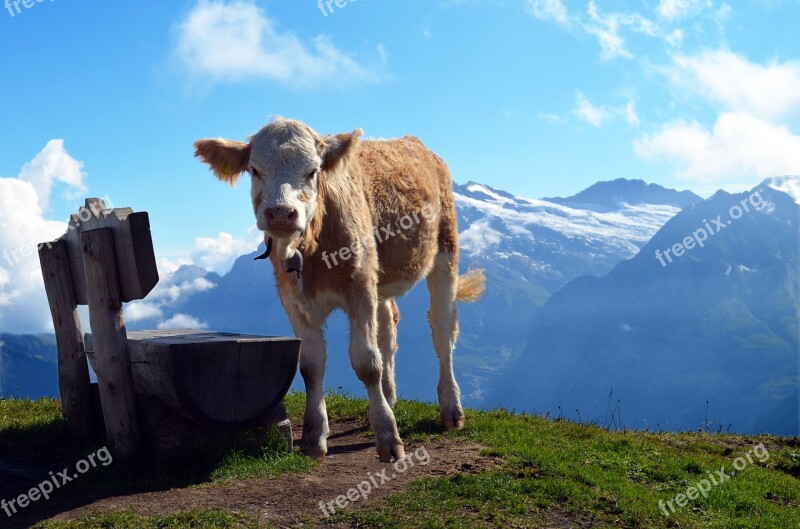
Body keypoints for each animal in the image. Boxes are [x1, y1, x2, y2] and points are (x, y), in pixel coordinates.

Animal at [195, 117, 482, 460]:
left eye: (312, 170)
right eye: (254, 170)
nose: (280, 213)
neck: (312, 248)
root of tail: (416, 143)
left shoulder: (359, 286)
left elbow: (367, 362)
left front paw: (388, 437)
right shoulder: (293, 300)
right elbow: (310, 366)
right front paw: (314, 436)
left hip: (444, 251)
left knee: (442, 330)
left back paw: (451, 407)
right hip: (379, 276)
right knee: (388, 327)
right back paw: (389, 396)